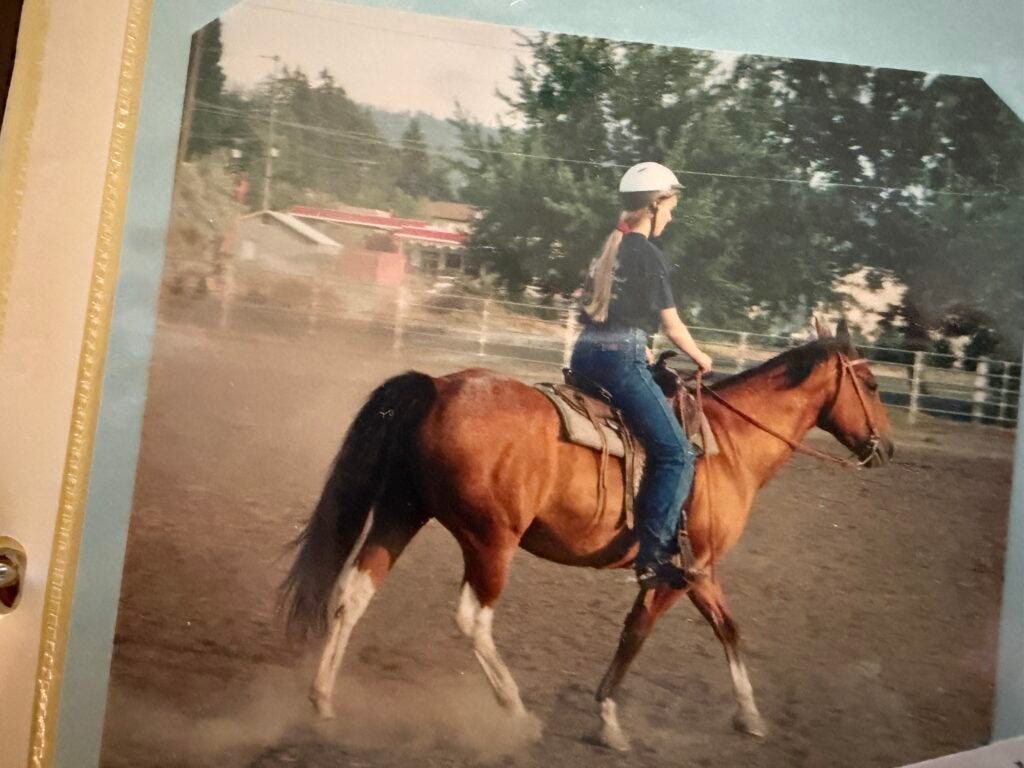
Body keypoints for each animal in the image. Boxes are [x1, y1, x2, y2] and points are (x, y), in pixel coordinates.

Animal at [282, 318, 894, 751]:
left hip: (401, 513)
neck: (728, 445)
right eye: (869, 382)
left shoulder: (700, 569)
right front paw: (609, 721)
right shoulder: (674, 571)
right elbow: (635, 633)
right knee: (472, 618)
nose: (887, 449)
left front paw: (749, 715)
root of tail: (436, 387)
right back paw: (517, 713)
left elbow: (729, 629)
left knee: (353, 593)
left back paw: (322, 699)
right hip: (490, 540)